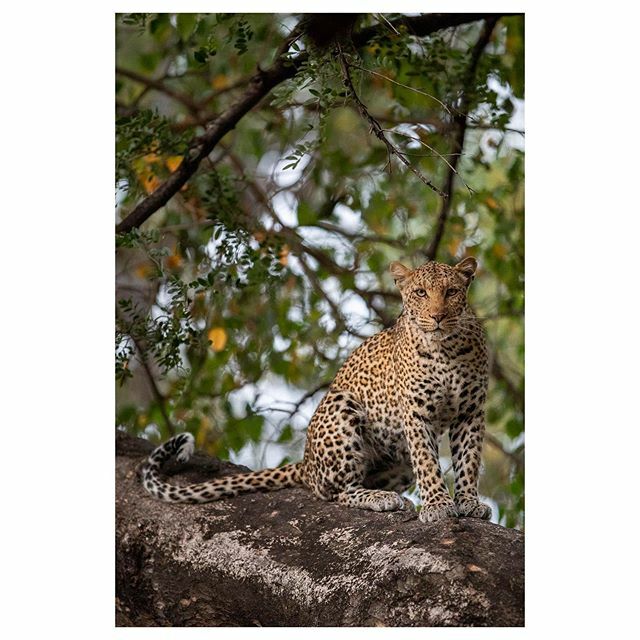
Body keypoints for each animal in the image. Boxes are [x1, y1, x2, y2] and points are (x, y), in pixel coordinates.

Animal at [140, 258, 490, 524]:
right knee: (336, 493)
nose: (438, 316)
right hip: (341, 406)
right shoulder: (416, 413)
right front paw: (438, 505)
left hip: (399, 461)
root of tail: (306, 463)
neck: (446, 349)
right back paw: (381, 498)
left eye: (451, 292)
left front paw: (468, 502)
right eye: (420, 292)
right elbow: (428, 463)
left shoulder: (470, 412)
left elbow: (469, 460)